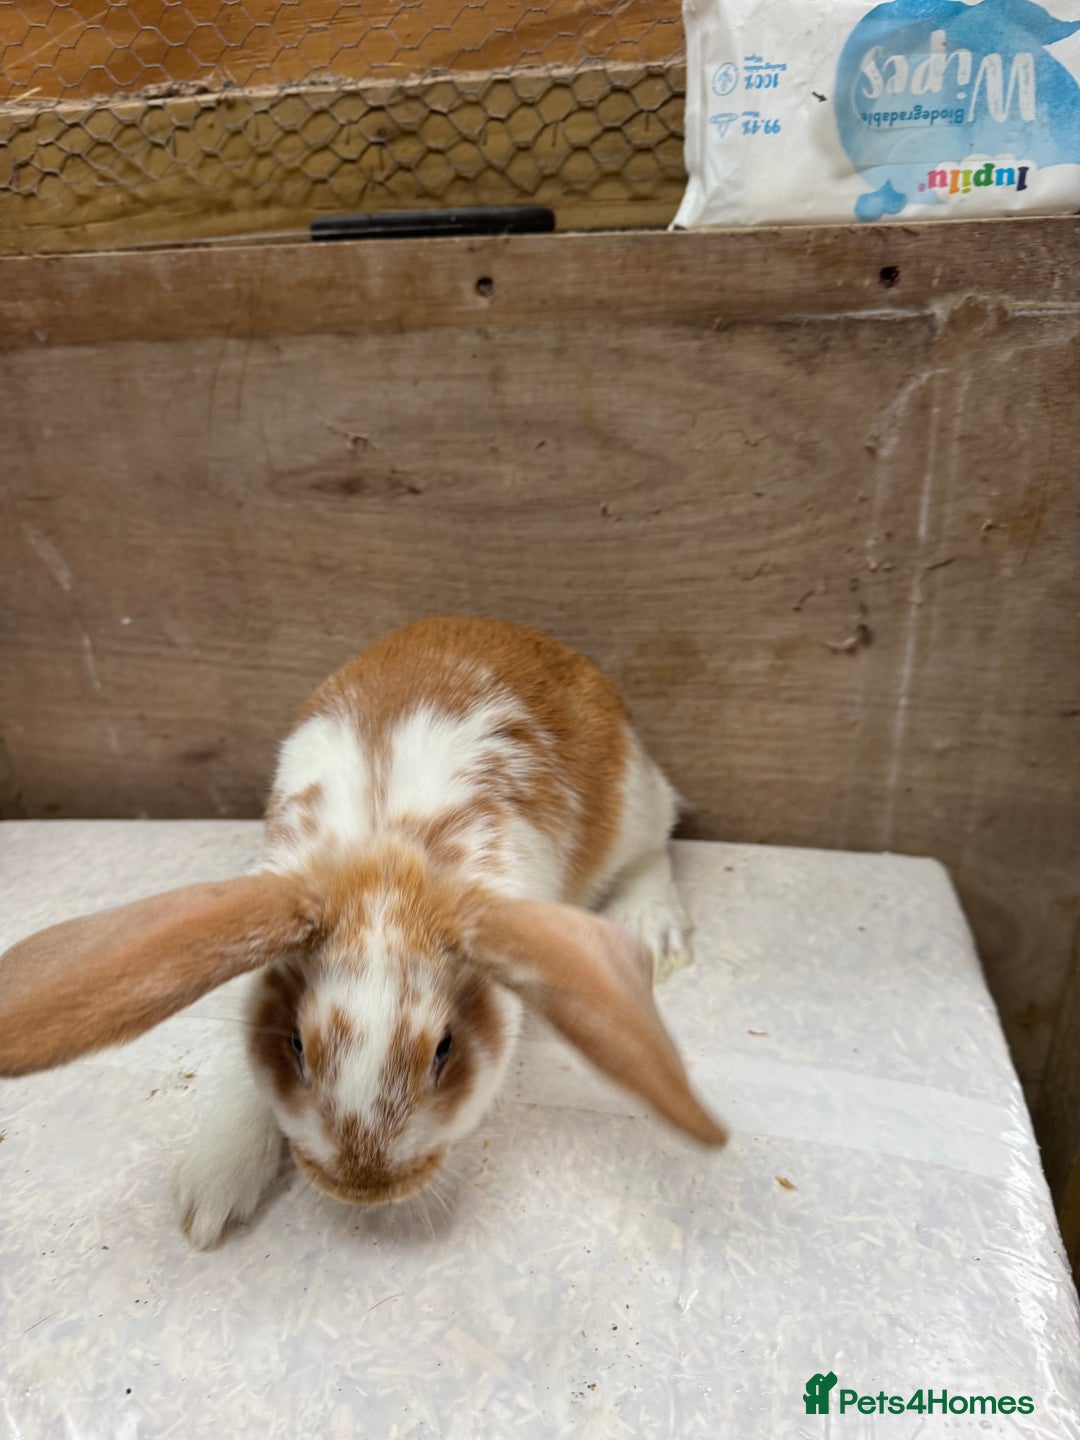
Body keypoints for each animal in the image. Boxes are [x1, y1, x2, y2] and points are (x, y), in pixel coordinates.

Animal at [0, 617, 727, 1247]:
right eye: (295, 1045)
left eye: (444, 1050)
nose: (362, 1189)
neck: (387, 851)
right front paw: (209, 1198)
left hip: (635, 805)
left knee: (654, 847)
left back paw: (656, 935)